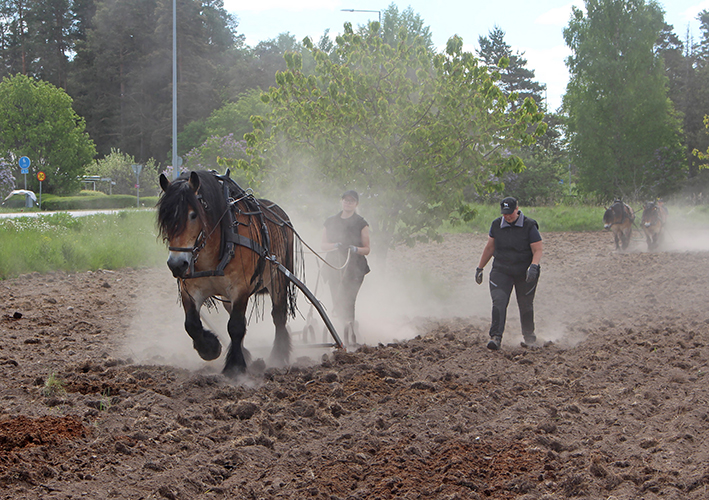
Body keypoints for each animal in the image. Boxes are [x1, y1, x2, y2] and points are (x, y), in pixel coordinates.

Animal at [156, 170, 298, 376]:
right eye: (165, 217)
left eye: (193, 214)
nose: (177, 264)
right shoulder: (190, 289)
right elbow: (191, 324)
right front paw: (210, 348)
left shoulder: (240, 288)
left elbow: (236, 326)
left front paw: (235, 366)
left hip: (277, 278)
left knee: (278, 316)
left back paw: (278, 355)